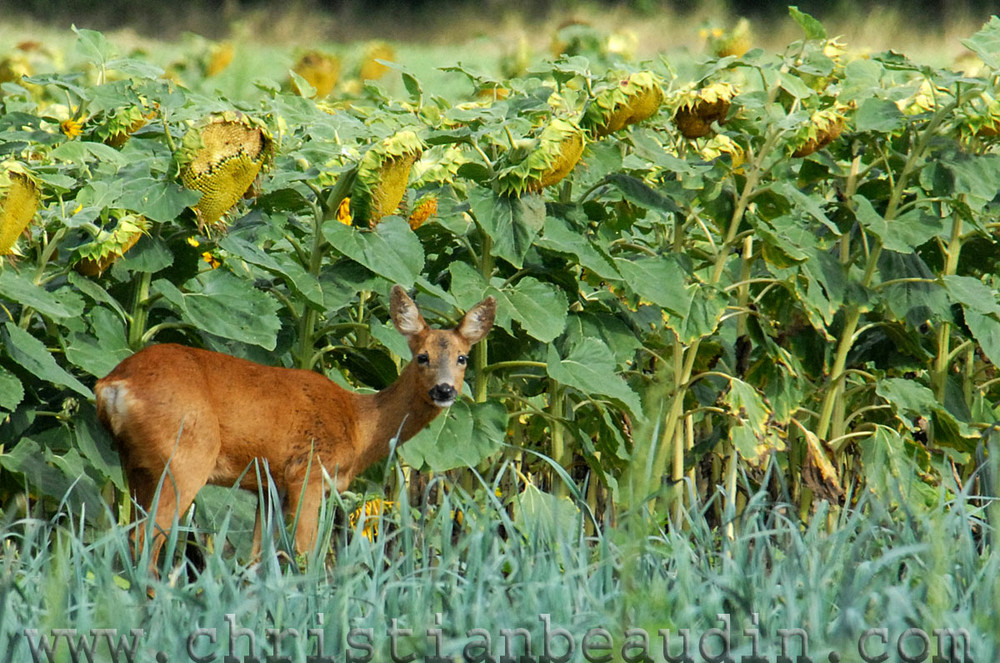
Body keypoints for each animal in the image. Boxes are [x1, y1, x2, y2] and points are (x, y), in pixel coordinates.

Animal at [95, 284, 494, 564]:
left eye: (462, 358)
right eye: (422, 356)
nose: (444, 390)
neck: (359, 426)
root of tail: (113, 385)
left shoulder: (269, 485)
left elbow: (258, 559)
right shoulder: (308, 473)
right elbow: (304, 554)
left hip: (134, 463)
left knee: (129, 533)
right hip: (186, 456)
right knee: (147, 538)